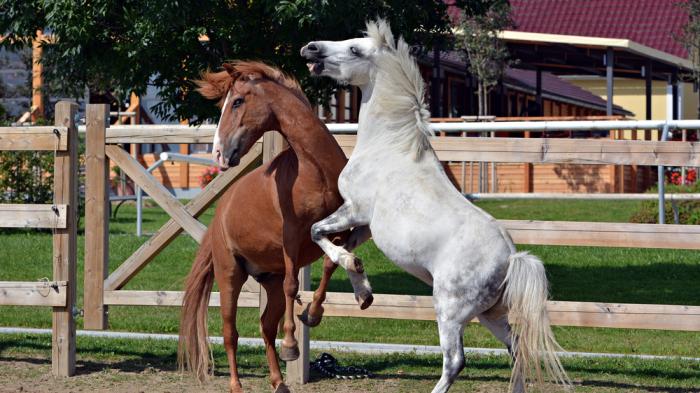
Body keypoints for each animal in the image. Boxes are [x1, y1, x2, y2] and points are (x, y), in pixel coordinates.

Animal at [179, 61, 372, 392]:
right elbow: (294, 283)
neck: (314, 172)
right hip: (230, 276)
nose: (218, 152)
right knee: (230, 333)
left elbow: (331, 265)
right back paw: (237, 385)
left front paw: (314, 314)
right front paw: (292, 345)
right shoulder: (291, 238)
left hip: (268, 281)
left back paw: (279, 381)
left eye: (237, 102)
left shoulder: (338, 231)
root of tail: (217, 220)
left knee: (266, 328)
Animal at [300, 19, 568, 390]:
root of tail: (511, 260)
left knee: (455, 361)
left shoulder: (355, 210)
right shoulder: (367, 226)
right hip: (490, 314)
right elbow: (338, 251)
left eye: (354, 49)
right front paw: (363, 294)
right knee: (517, 350)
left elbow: (317, 232)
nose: (310, 48)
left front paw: (353, 273)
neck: (389, 146)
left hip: (450, 311)